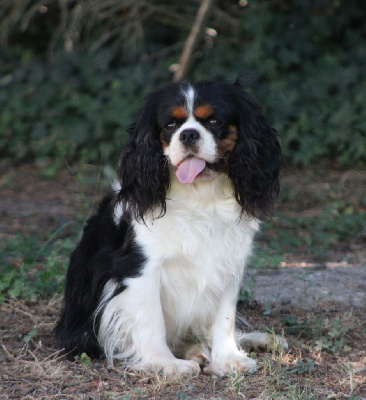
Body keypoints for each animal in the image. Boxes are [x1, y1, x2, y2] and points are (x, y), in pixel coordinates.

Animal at [55, 79, 282, 376]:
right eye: (170, 125)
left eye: (214, 121)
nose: (188, 135)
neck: (200, 195)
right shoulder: (140, 268)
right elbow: (152, 320)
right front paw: (165, 364)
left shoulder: (228, 263)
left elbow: (225, 318)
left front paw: (228, 359)